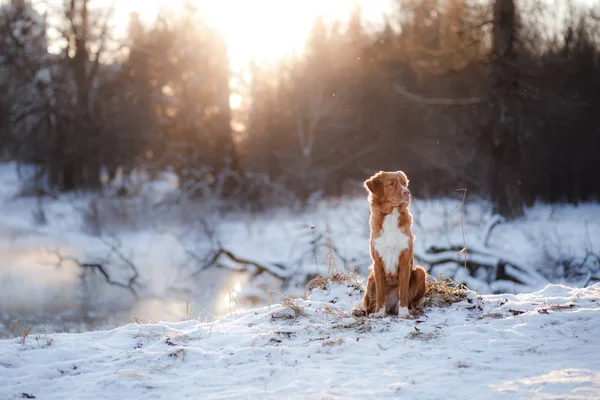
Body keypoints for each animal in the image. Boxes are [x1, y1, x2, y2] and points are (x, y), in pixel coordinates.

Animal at [354, 170, 428, 318]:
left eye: (404, 183)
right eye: (391, 184)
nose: (407, 192)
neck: (391, 214)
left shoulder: (405, 260)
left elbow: (403, 292)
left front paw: (404, 313)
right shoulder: (377, 262)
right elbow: (380, 293)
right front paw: (379, 313)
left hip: (420, 272)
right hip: (371, 279)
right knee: (370, 303)